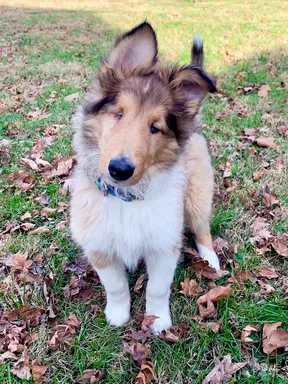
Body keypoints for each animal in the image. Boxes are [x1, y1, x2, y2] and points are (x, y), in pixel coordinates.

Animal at [70, 22, 220, 334]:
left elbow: (157, 289)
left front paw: (158, 321)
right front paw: (118, 315)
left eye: (155, 127)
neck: (125, 200)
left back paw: (211, 260)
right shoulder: (99, 247)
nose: (119, 169)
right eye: (118, 114)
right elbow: (115, 286)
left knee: (202, 228)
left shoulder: (164, 246)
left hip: (197, 195)